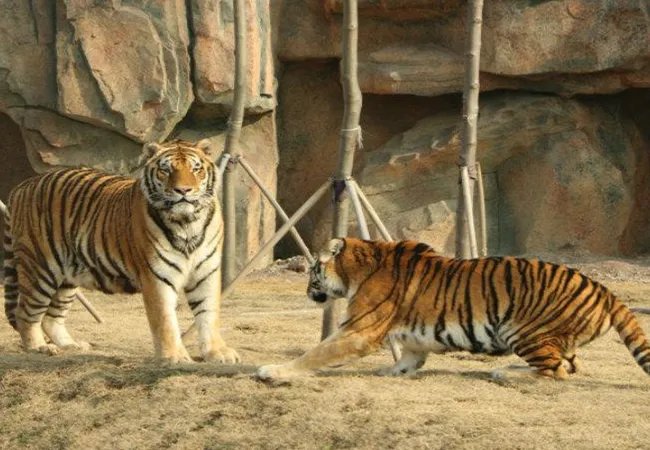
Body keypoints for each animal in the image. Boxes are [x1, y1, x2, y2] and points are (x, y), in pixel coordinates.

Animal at [2, 139, 239, 364]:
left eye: (196, 169)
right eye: (165, 170)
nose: (183, 191)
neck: (188, 223)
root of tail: (23, 185)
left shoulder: (206, 272)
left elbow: (208, 314)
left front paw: (218, 352)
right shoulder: (156, 276)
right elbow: (165, 319)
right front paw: (174, 356)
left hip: (67, 276)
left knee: (51, 317)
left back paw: (71, 346)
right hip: (40, 267)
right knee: (25, 313)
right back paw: (39, 347)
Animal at [256, 238, 650, 381]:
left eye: (312, 270)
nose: (307, 290)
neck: (357, 268)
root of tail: (605, 289)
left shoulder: (358, 330)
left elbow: (316, 352)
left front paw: (272, 371)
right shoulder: (413, 339)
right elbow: (408, 359)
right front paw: (390, 373)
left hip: (520, 328)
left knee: (555, 371)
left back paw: (505, 373)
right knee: (571, 365)